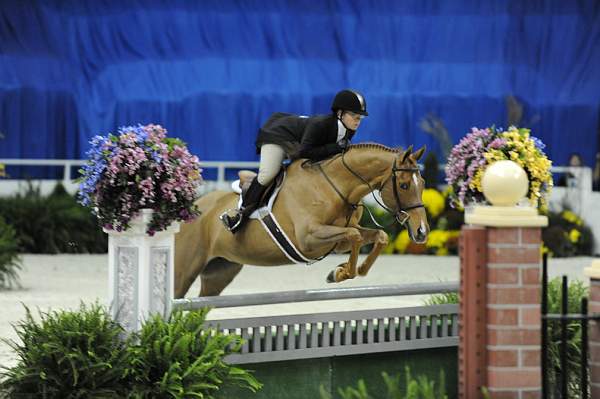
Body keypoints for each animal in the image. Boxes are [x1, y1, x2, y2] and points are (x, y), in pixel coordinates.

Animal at [176, 144, 428, 296]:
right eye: (404, 185)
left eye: (423, 183)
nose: (422, 232)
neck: (333, 187)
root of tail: (192, 208)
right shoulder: (308, 239)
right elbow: (355, 235)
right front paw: (341, 272)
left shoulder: (337, 242)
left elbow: (378, 236)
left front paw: (344, 271)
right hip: (185, 271)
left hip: (220, 272)